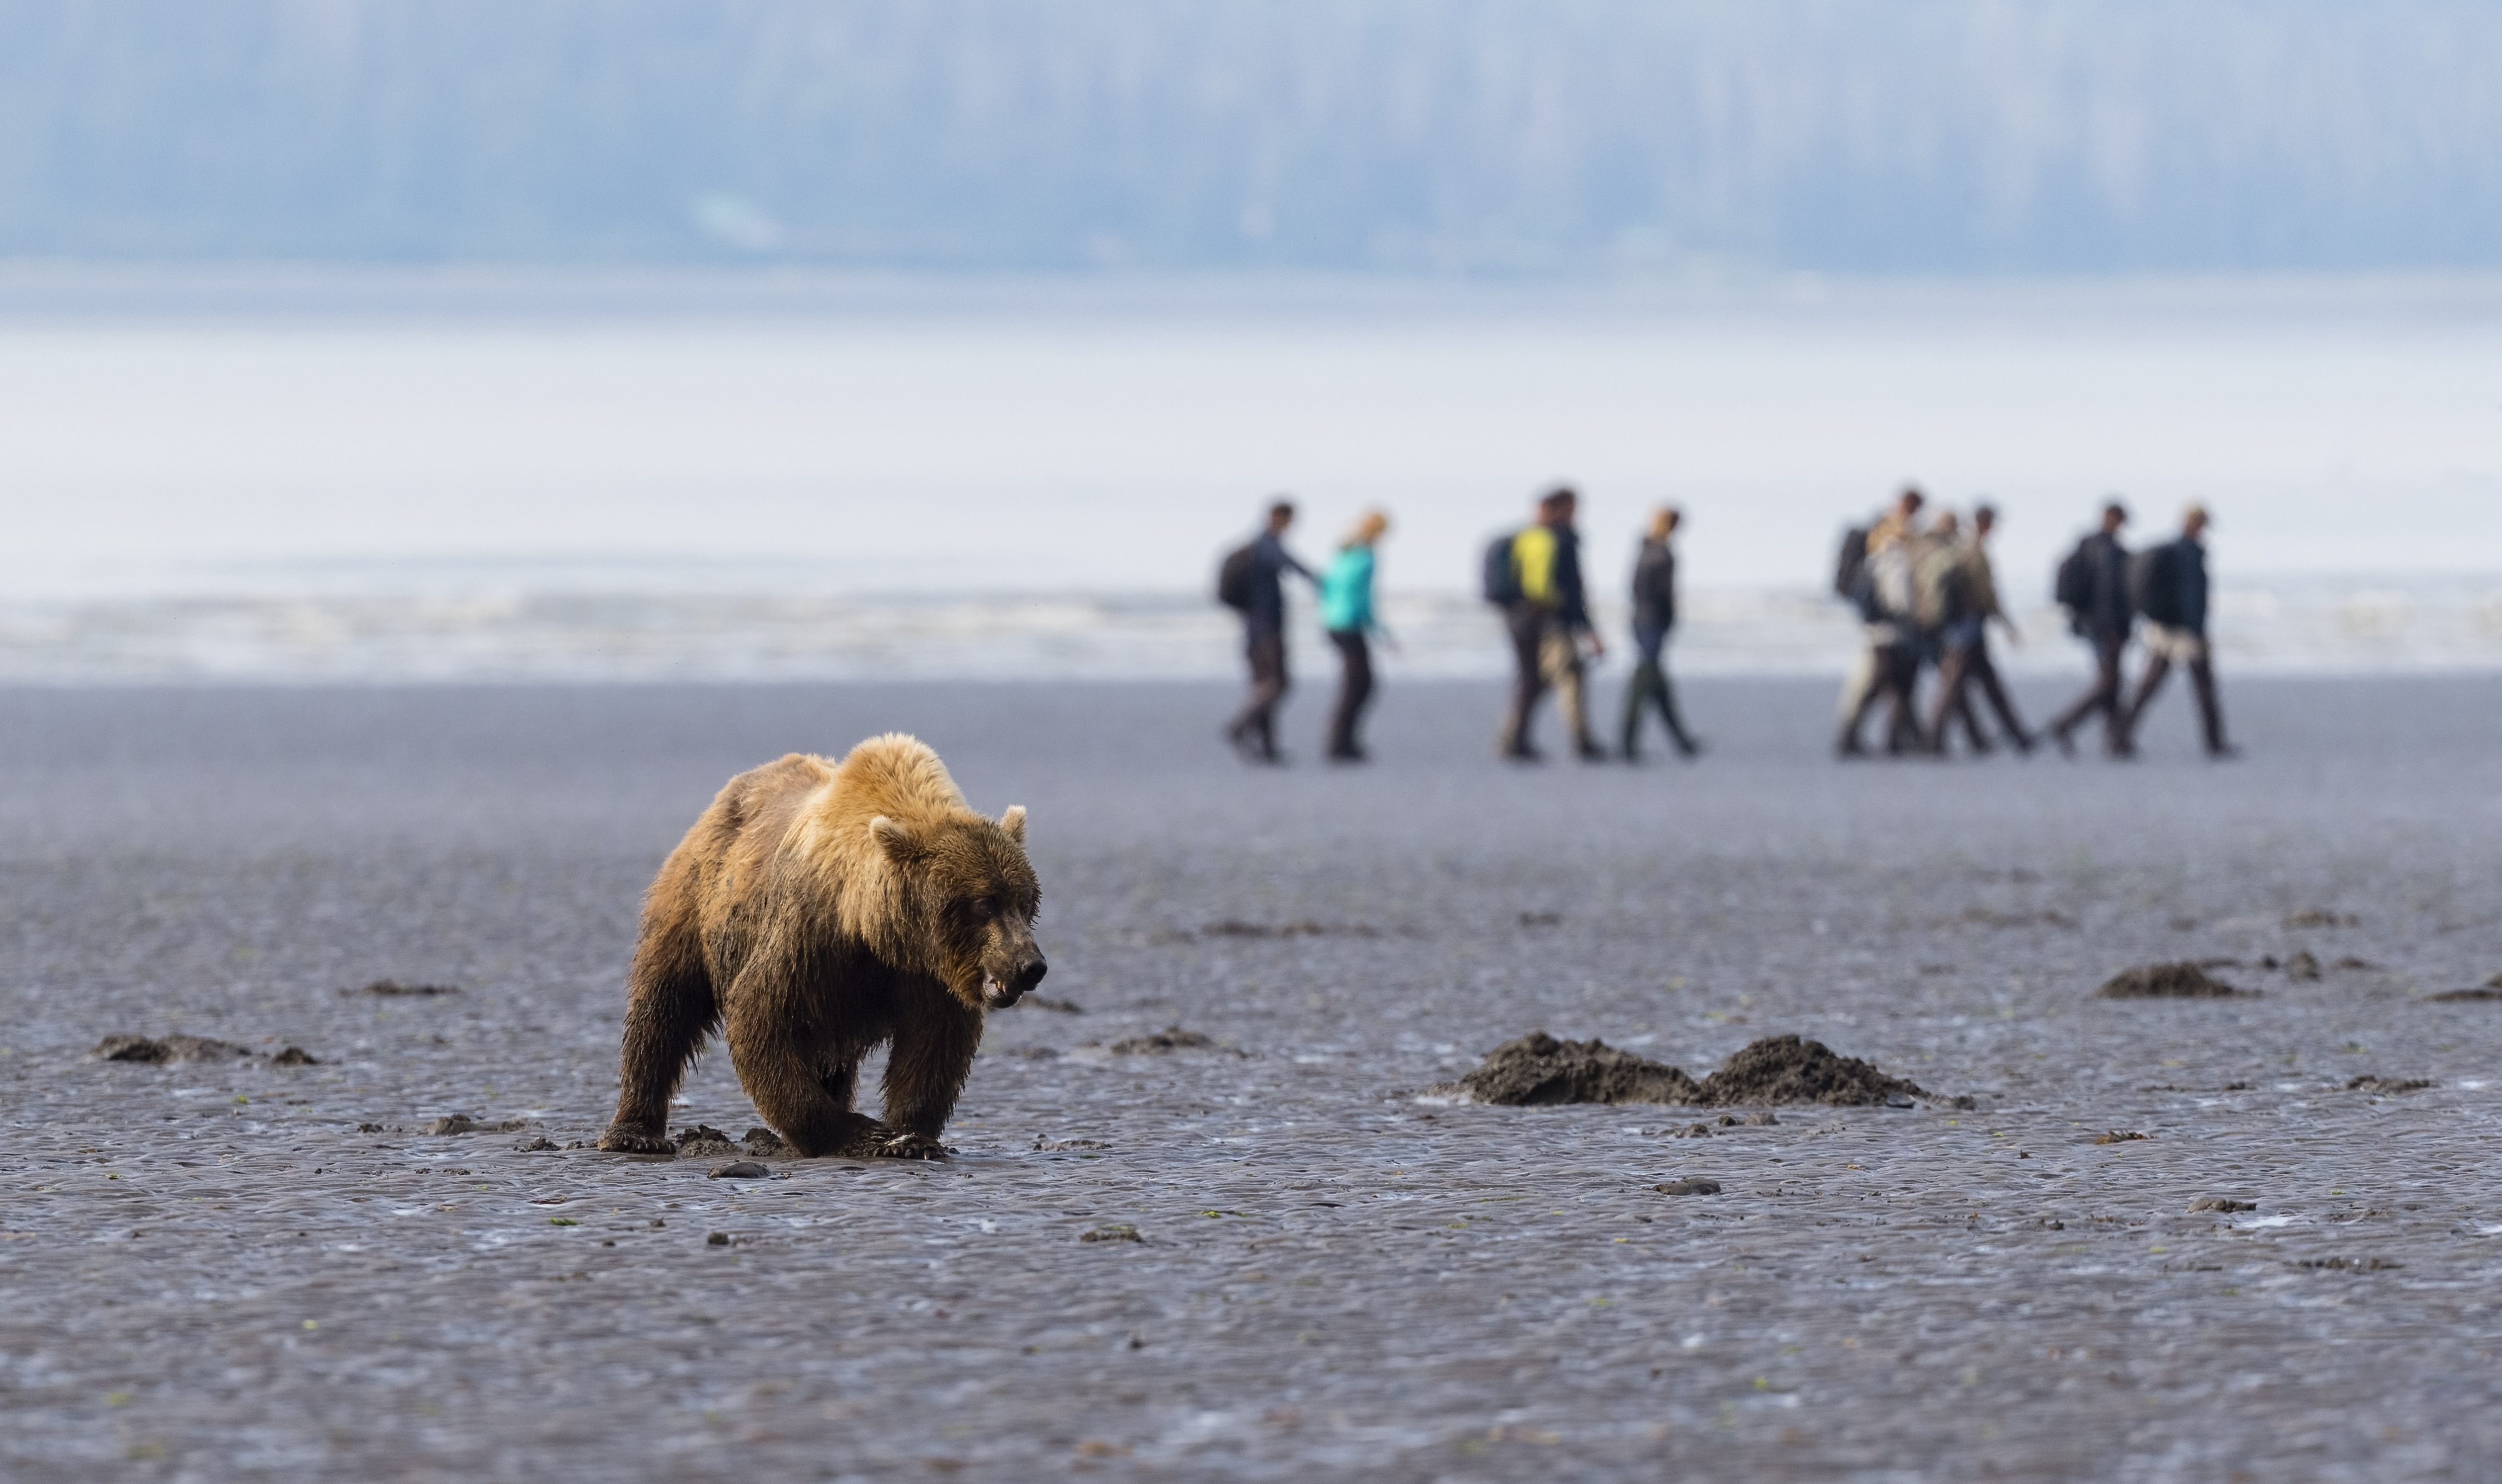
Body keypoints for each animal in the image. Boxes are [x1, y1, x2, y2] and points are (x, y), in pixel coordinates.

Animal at [595, 736, 1046, 1161]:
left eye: (1026, 901)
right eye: (984, 903)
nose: (1030, 965)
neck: (877, 931)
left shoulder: (924, 974)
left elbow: (935, 1045)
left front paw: (908, 1139)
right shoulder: (810, 939)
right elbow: (760, 1016)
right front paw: (858, 1133)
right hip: (695, 901)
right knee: (664, 1007)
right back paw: (636, 1133)